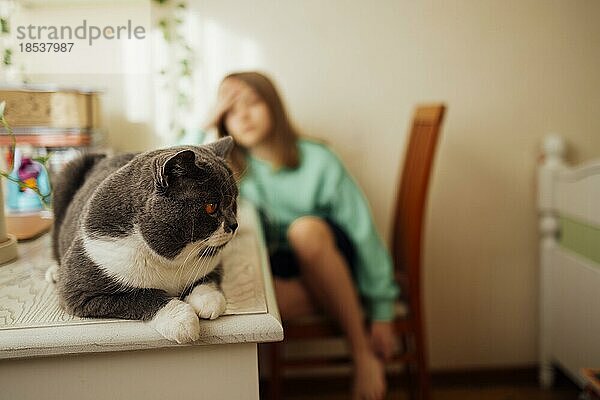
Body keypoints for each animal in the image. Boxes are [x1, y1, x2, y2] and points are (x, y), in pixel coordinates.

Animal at [48, 138, 238, 344]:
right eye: (211, 207)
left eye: (234, 202)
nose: (234, 224)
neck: (171, 261)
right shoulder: (79, 290)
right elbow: (141, 297)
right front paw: (182, 321)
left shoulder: (213, 260)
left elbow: (209, 277)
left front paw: (208, 300)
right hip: (66, 176)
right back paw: (54, 271)